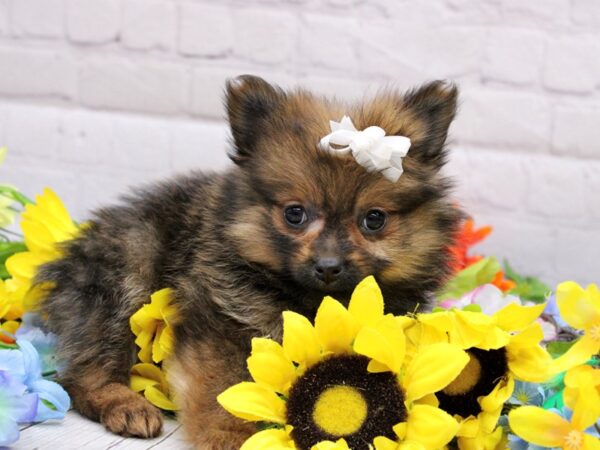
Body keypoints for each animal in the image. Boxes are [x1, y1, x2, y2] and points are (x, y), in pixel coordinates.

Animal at [36, 75, 460, 448]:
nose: (327, 266)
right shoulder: (221, 326)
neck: (310, 302)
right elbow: (224, 392)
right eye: (294, 214)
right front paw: (230, 438)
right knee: (82, 373)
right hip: (125, 275)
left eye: (374, 220)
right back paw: (124, 404)